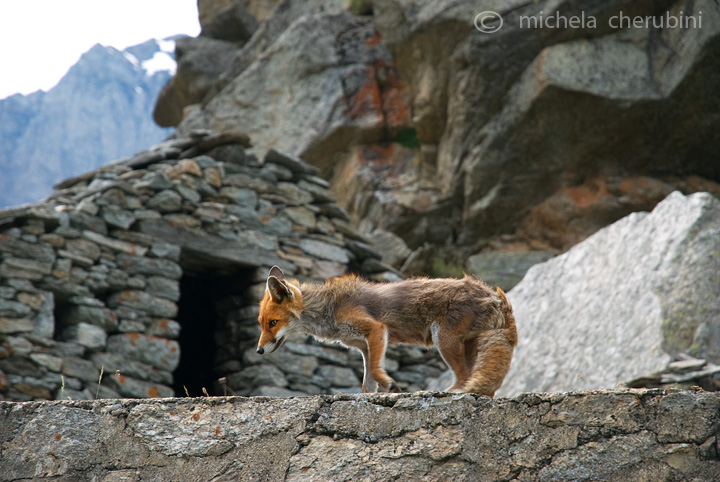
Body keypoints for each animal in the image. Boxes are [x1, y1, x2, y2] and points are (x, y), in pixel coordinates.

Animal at [258, 266, 516, 398]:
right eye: (261, 323)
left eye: (272, 323)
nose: (259, 351)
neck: (329, 309)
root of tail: (494, 295)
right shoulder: (364, 347)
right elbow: (367, 382)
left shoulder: (376, 330)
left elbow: (375, 369)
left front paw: (391, 386)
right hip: (467, 346)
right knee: (479, 382)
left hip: (444, 340)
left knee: (463, 377)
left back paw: (442, 392)